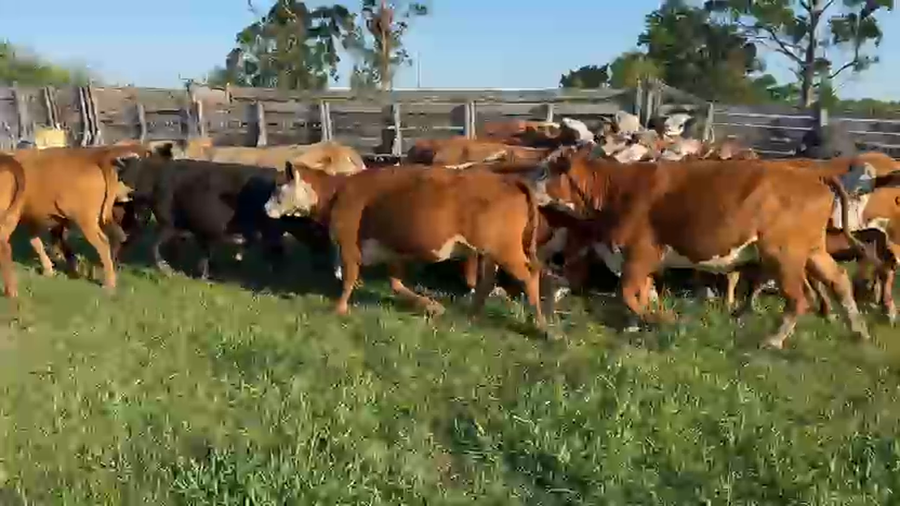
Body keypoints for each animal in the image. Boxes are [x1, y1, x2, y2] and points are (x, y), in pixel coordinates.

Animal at [263, 162, 550, 336]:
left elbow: (349, 279)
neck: (337, 192)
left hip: (505, 250)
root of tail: (508, 180)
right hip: (489, 252)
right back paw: (471, 317)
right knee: (487, 282)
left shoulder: (348, 247)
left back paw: (543, 326)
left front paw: (339, 309)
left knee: (530, 275)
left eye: (278, 187)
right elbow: (396, 284)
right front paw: (432, 307)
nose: (265, 208)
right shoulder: (394, 253)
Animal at [536, 147, 876, 349]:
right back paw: (858, 330)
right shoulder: (631, 259)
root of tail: (813, 175)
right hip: (813, 250)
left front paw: (664, 321)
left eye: (544, 171)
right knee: (839, 281)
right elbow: (639, 294)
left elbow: (629, 294)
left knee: (798, 297)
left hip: (783, 254)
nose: (526, 184)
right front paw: (636, 327)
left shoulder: (640, 254)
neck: (614, 190)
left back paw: (773, 339)